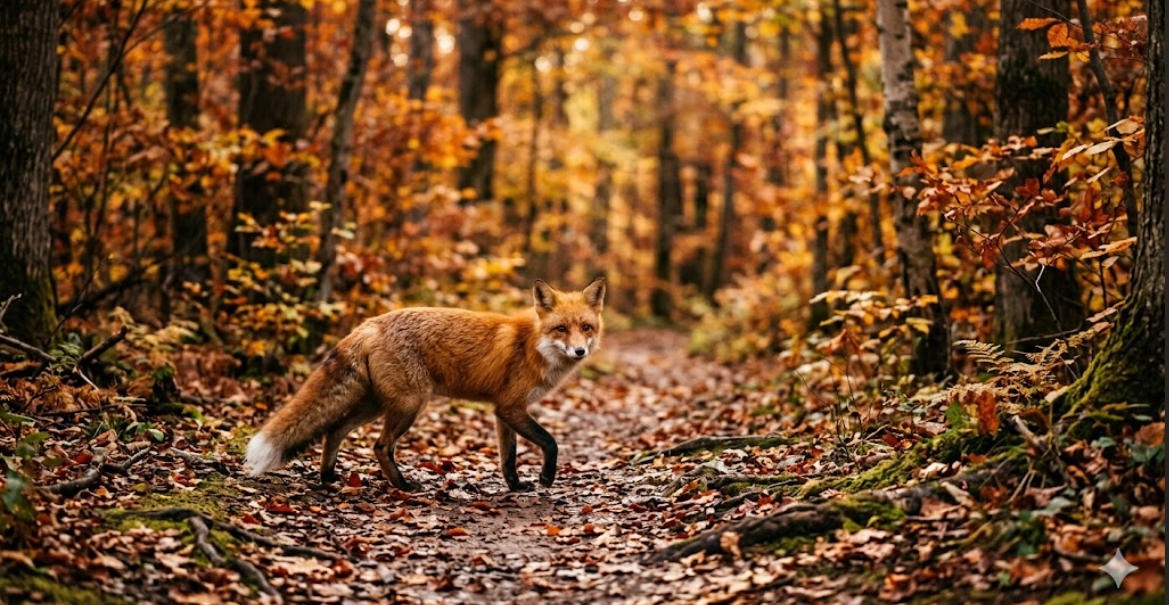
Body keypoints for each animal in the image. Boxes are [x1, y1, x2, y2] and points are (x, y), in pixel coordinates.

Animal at [245, 278, 606, 492]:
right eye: (561, 329)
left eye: (586, 327)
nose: (580, 351)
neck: (534, 345)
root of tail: (369, 323)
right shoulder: (511, 407)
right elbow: (550, 442)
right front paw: (546, 477)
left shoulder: (503, 411)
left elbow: (508, 457)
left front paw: (515, 486)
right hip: (410, 405)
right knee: (380, 446)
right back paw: (403, 486)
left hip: (376, 404)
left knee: (334, 431)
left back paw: (329, 476)